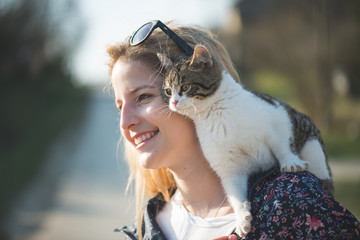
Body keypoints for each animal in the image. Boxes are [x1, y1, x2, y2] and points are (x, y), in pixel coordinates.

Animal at [159, 45, 334, 238]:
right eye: (168, 91)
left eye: (185, 87)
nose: (173, 102)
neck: (215, 113)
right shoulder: (228, 168)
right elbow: (234, 192)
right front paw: (241, 217)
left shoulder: (276, 115)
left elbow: (280, 142)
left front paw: (290, 161)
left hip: (314, 147)